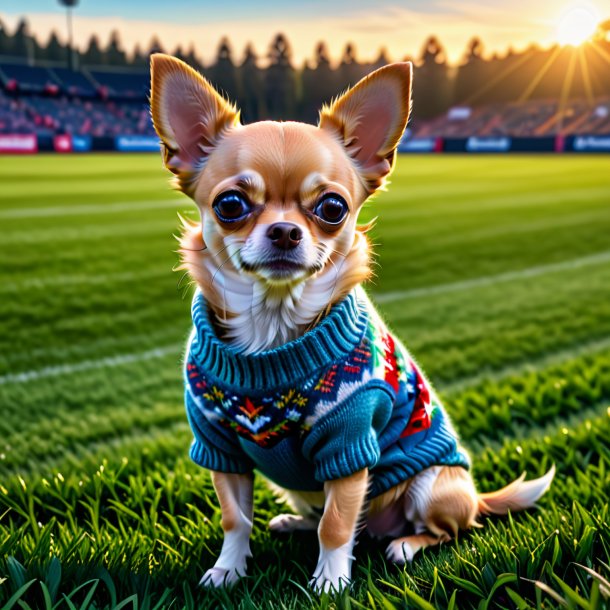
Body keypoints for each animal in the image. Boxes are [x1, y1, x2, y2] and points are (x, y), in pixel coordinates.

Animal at [150, 54, 552, 592]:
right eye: (230, 204)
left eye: (332, 208)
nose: (284, 231)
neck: (272, 330)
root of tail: (475, 496)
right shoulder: (219, 446)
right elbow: (236, 518)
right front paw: (228, 569)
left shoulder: (350, 444)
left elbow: (338, 523)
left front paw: (330, 581)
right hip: (300, 487)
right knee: (323, 514)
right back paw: (294, 522)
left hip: (431, 487)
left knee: (444, 530)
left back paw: (405, 544)